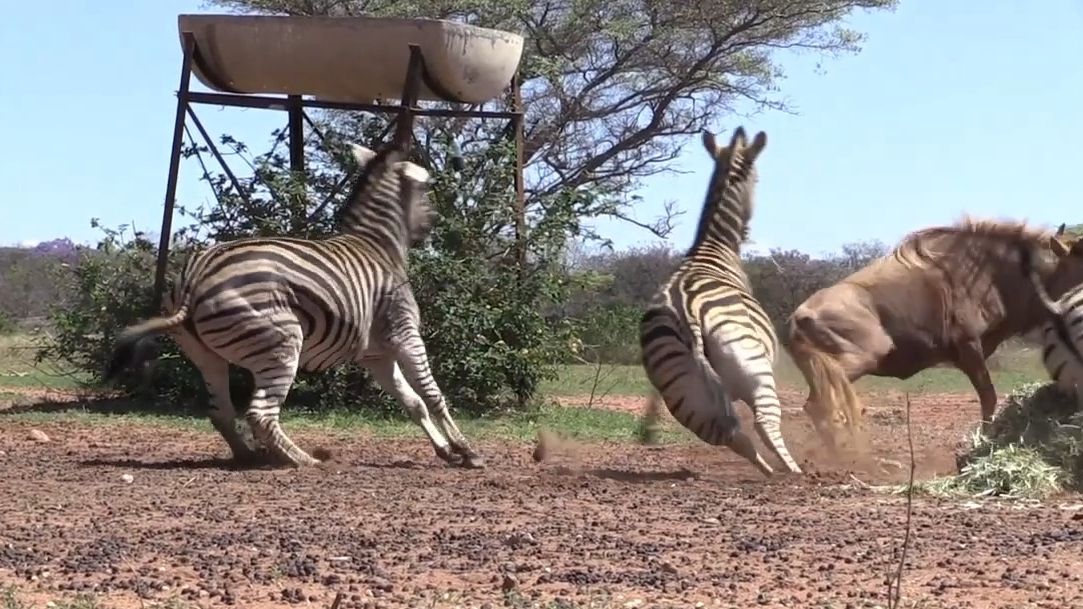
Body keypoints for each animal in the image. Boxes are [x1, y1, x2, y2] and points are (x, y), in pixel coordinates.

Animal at [105, 141, 487, 470]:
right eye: (428, 188)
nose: (431, 229)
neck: (380, 246)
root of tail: (196, 276)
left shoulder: (376, 354)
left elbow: (413, 402)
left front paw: (445, 450)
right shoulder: (405, 334)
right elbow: (433, 395)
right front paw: (467, 451)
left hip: (207, 355)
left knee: (221, 412)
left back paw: (252, 456)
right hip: (282, 343)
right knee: (260, 414)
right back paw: (303, 459)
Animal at [632, 126, 805, 474]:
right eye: (757, 179)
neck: (713, 248)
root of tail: (687, 313)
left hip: (684, 395)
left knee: (732, 436)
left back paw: (769, 472)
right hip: (755, 372)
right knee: (764, 425)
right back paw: (794, 471)